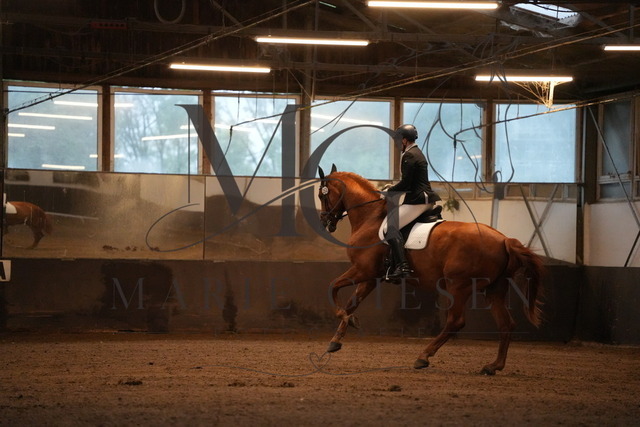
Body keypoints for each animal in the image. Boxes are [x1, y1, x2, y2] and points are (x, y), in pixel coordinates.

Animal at [317, 165, 544, 375]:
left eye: (321, 195)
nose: (325, 222)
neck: (371, 218)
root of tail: (504, 239)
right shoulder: (371, 277)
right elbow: (351, 303)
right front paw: (336, 341)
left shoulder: (363, 271)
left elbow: (332, 288)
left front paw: (347, 320)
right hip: (494, 288)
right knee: (506, 324)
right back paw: (493, 366)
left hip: (458, 286)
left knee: (456, 321)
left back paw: (423, 357)